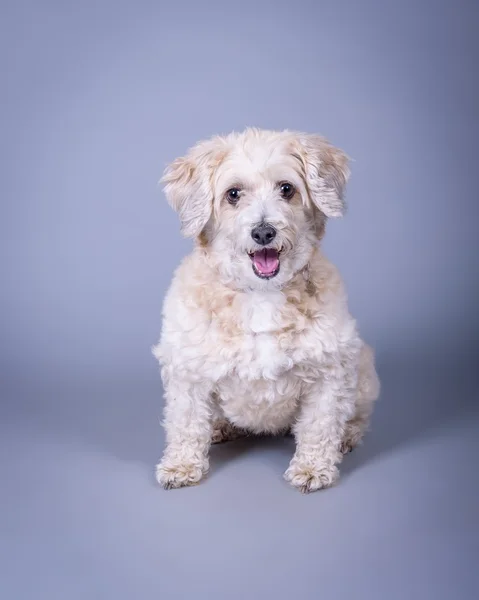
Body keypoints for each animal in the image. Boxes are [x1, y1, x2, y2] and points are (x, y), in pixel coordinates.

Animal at [153, 127, 378, 492]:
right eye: (233, 194)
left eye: (286, 189)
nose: (263, 231)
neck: (260, 294)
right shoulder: (188, 371)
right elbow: (186, 423)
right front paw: (181, 466)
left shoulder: (330, 371)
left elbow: (320, 425)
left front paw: (313, 468)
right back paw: (220, 428)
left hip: (364, 369)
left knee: (356, 415)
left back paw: (349, 435)